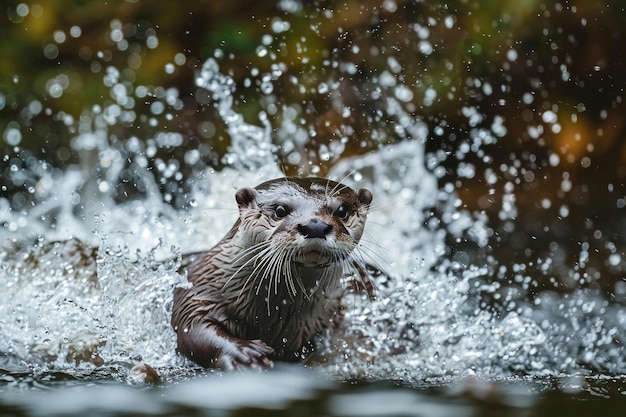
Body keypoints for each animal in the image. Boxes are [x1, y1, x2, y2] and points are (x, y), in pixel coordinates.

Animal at [171, 176, 372, 368]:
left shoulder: (331, 309)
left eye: (342, 211)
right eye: (280, 210)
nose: (315, 226)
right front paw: (245, 353)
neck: (271, 314)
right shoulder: (199, 290)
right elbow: (191, 328)